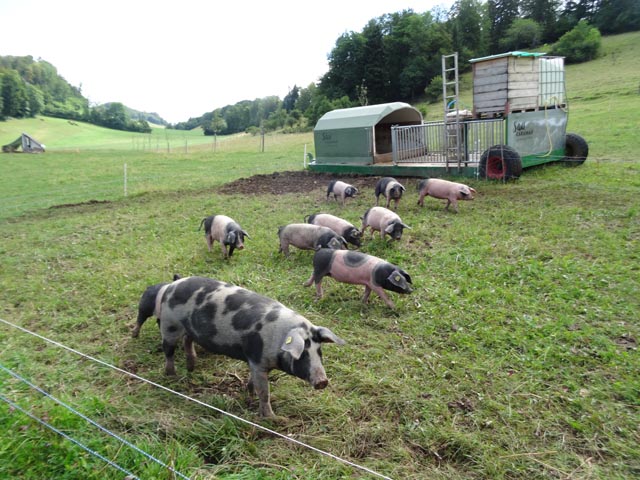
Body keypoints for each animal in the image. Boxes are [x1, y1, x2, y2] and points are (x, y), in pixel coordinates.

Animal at [155, 276, 344, 418]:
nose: (322, 381)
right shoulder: (258, 361)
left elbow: (254, 383)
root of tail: (172, 285)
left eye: (319, 351)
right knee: (168, 351)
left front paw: (249, 393)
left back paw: (191, 367)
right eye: (303, 353)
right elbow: (264, 392)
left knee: (187, 341)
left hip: (188, 329)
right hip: (170, 325)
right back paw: (172, 376)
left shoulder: (255, 363)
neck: (279, 340)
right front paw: (273, 419)